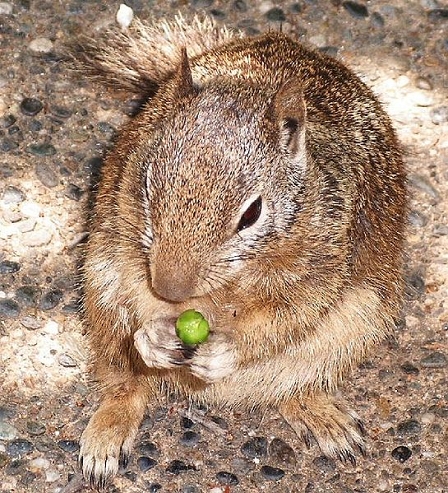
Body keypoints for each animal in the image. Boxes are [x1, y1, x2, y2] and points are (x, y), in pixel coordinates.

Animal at [72, 13, 408, 486]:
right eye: (148, 180)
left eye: (252, 214)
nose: (170, 290)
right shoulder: (120, 239)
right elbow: (135, 302)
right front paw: (151, 337)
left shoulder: (322, 267)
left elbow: (285, 319)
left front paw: (228, 348)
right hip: (98, 290)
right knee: (126, 383)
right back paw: (107, 433)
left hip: (351, 330)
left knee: (293, 385)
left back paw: (323, 418)